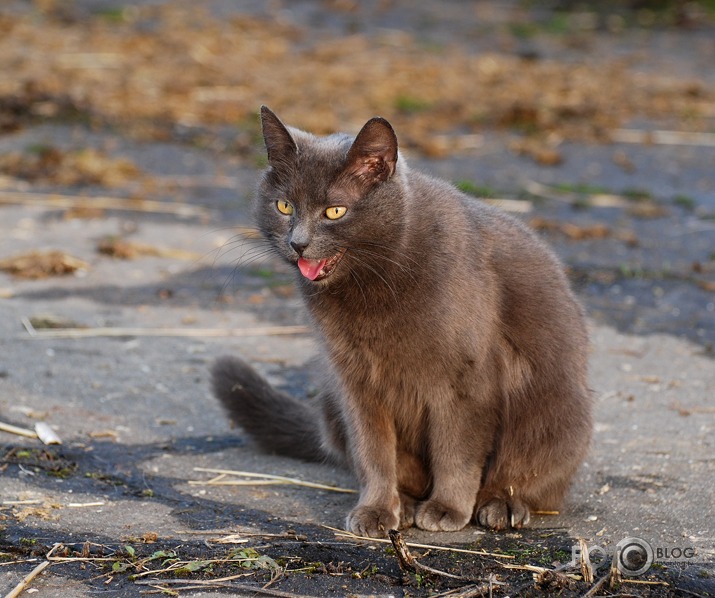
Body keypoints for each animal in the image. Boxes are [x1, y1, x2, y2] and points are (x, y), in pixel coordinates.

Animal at [213, 106, 592, 540]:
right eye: (284, 207)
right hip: (331, 401)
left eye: (335, 211)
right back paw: (407, 504)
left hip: (557, 414)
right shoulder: (355, 381)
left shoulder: (467, 381)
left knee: (531, 478)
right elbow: (374, 452)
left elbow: (457, 451)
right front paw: (377, 509)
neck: (371, 285)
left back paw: (502, 504)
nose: (298, 243)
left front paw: (447, 509)